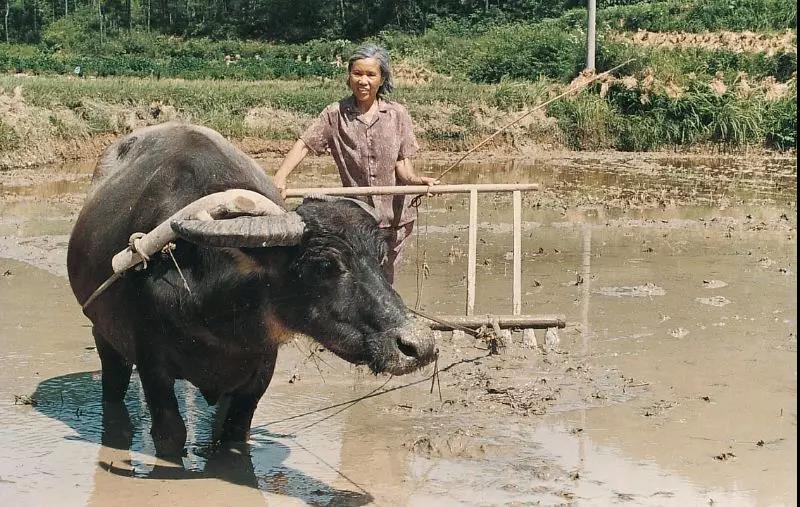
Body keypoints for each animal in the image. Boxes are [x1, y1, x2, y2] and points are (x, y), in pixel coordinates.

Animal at [68, 123, 438, 456]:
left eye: (380, 257)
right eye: (325, 266)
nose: (418, 345)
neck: (217, 316)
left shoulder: (260, 370)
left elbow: (234, 432)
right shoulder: (151, 363)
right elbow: (170, 434)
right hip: (103, 335)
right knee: (113, 388)